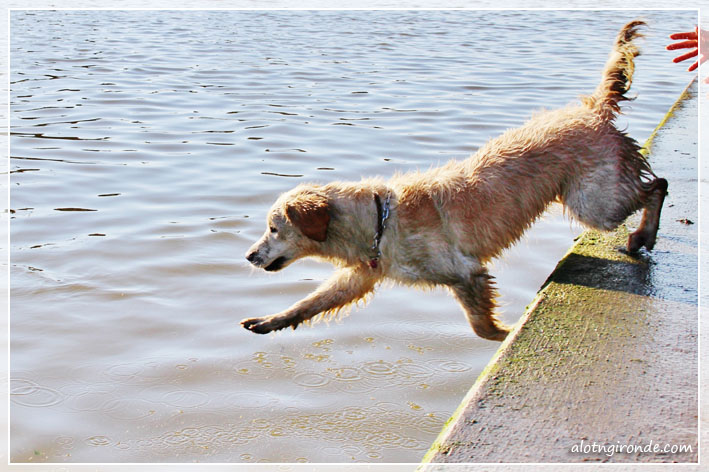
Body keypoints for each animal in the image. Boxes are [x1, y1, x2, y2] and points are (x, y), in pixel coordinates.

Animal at [241, 20, 667, 341]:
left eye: (273, 229)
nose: (249, 256)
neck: (380, 223)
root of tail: (594, 109)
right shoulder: (361, 275)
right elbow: (312, 302)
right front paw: (270, 320)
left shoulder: (466, 274)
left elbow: (481, 327)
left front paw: (506, 333)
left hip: (593, 203)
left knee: (657, 185)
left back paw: (642, 236)